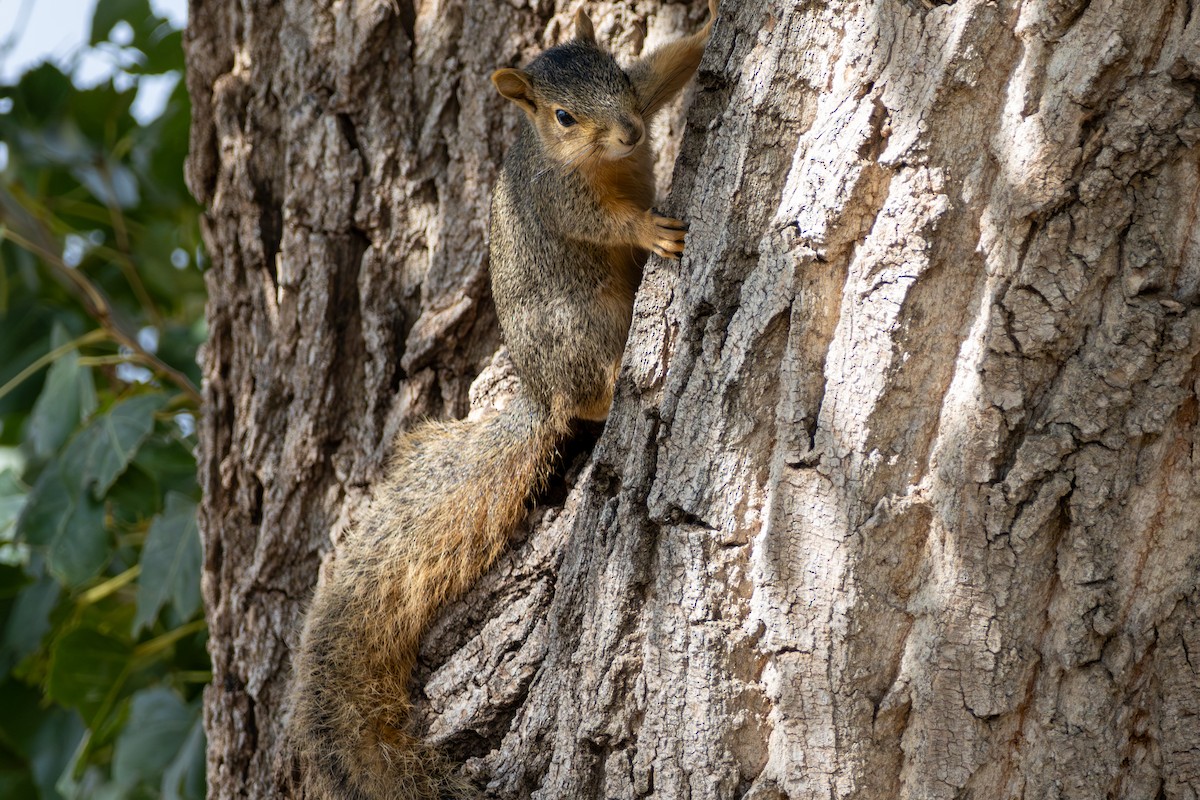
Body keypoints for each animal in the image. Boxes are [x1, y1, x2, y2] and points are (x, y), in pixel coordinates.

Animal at [285, 3, 717, 798]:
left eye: (615, 76)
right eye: (563, 116)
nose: (632, 134)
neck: (587, 159)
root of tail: (539, 395)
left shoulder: (643, 92)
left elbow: (668, 66)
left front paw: (709, 27)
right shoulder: (556, 198)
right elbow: (600, 222)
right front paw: (646, 227)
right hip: (577, 323)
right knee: (587, 397)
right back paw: (617, 382)